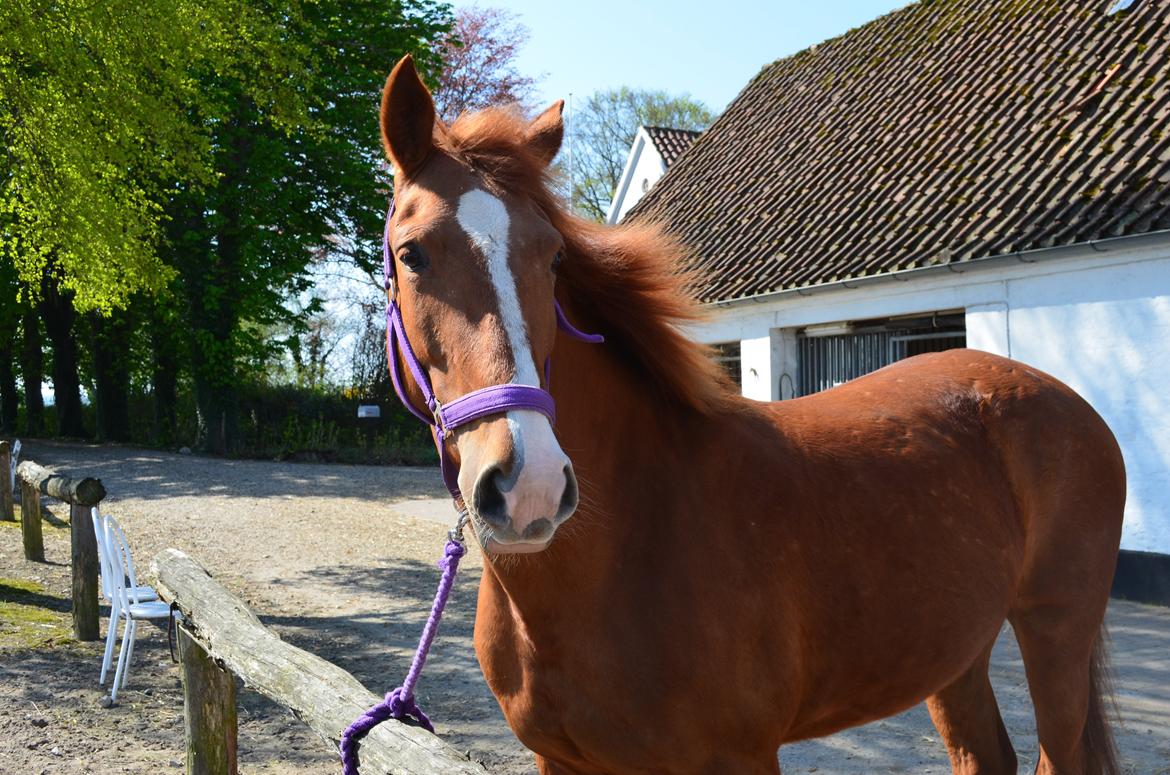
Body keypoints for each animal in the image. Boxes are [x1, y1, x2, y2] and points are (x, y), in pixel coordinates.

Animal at [374, 56, 1123, 775]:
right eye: (412, 253)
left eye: (553, 256)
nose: (528, 486)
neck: (630, 536)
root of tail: (1065, 399)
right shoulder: (558, 760)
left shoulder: (739, 757)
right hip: (953, 649)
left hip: (1055, 630)